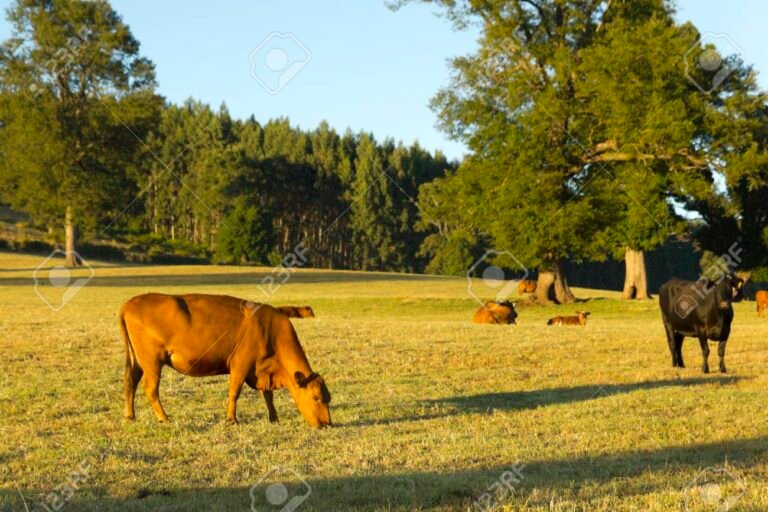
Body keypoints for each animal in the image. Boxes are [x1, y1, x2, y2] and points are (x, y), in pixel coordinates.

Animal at [119, 293, 332, 428]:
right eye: (316, 398)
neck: (270, 330)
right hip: (152, 362)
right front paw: (232, 419)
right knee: (151, 389)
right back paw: (165, 418)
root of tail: (130, 303)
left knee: (130, 383)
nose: (327, 424)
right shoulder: (240, 364)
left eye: (328, 398)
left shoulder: (262, 369)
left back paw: (130, 416)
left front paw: (274, 418)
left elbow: (267, 395)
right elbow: (234, 392)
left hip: (137, 362)